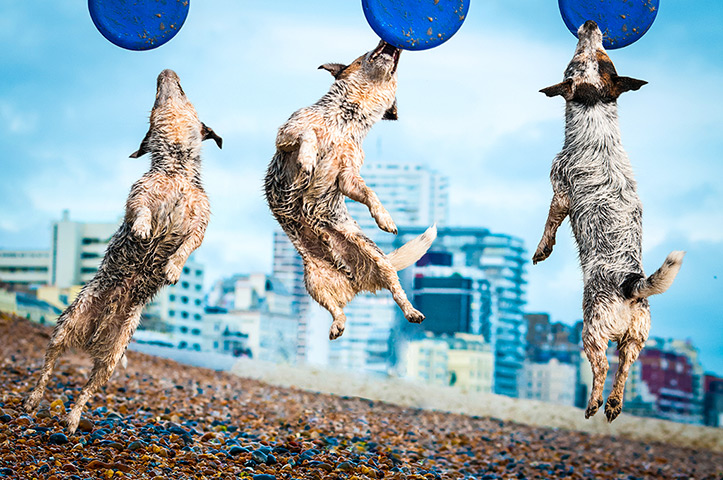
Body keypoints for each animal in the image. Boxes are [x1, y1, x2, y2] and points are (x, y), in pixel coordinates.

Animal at [23, 70, 221, 436]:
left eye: (182, 92)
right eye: (155, 102)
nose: (166, 72)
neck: (176, 167)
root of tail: (92, 336)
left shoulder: (200, 221)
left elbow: (188, 245)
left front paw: (173, 268)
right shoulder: (139, 195)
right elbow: (140, 211)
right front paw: (143, 231)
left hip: (113, 356)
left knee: (88, 389)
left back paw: (73, 419)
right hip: (67, 324)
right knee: (48, 366)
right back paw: (33, 399)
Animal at [266, 42, 436, 342]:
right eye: (364, 53)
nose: (391, 43)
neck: (349, 116)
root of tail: (354, 279)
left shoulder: (347, 176)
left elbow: (369, 192)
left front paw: (384, 218)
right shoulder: (288, 133)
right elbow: (309, 133)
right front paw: (308, 158)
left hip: (378, 260)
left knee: (395, 289)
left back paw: (411, 311)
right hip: (313, 280)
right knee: (337, 310)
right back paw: (337, 326)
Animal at [536, 20, 684, 422]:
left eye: (576, 61)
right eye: (604, 58)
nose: (590, 23)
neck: (595, 112)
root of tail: (631, 284)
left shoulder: (560, 191)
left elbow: (550, 225)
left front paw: (542, 249)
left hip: (592, 330)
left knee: (601, 366)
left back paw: (593, 403)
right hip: (636, 338)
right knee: (626, 367)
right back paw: (614, 404)